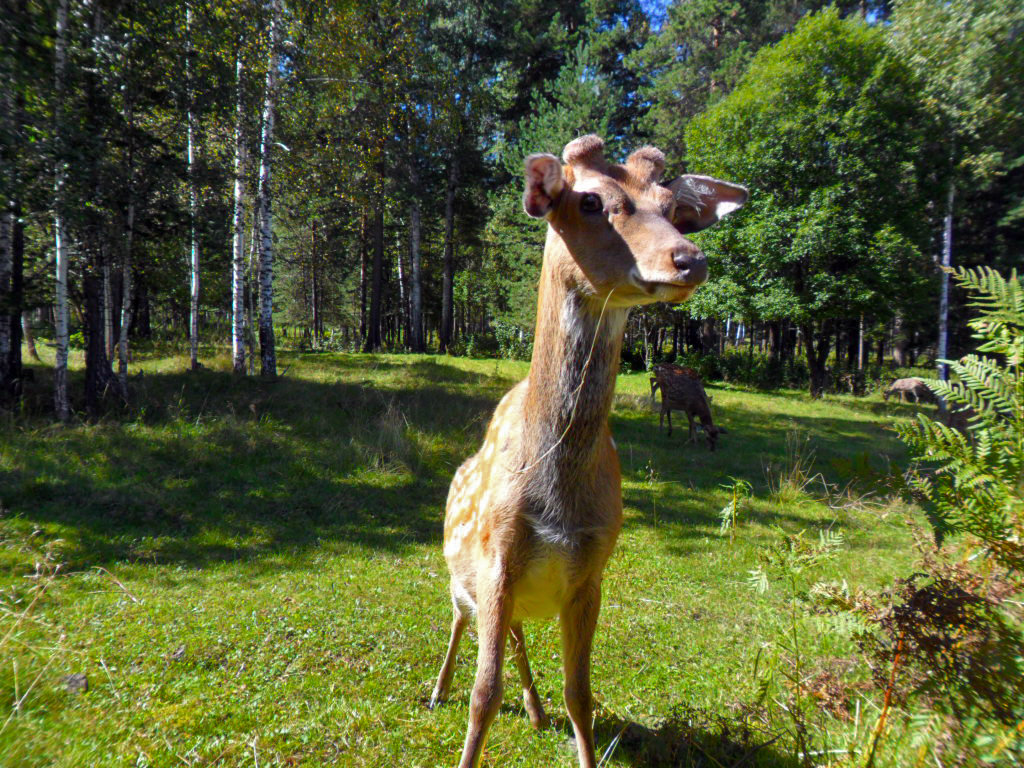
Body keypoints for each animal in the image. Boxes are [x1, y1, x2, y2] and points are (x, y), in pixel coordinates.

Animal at [428, 135, 749, 765]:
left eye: (673, 208)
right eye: (590, 202)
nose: (689, 258)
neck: (557, 498)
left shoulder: (592, 571)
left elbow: (580, 694)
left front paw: (566, 727)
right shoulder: (496, 558)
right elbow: (483, 695)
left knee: (518, 640)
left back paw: (534, 711)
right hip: (461, 575)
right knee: (459, 624)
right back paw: (438, 690)